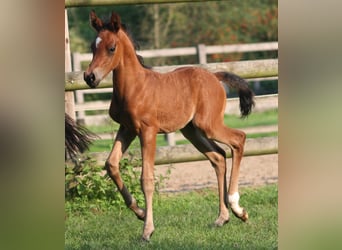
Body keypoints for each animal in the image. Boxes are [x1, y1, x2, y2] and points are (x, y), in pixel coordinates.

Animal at [83, 10, 254, 241]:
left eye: (111, 48)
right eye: (92, 47)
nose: (89, 77)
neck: (134, 87)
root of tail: (214, 76)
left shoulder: (148, 131)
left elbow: (146, 178)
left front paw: (147, 230)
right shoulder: (127, 129)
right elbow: (111, 164)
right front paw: (140, 212)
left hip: (208, 125)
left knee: (238, 139)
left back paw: (237, 207)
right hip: (191, 130)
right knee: (218, 157)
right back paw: (223, 217)